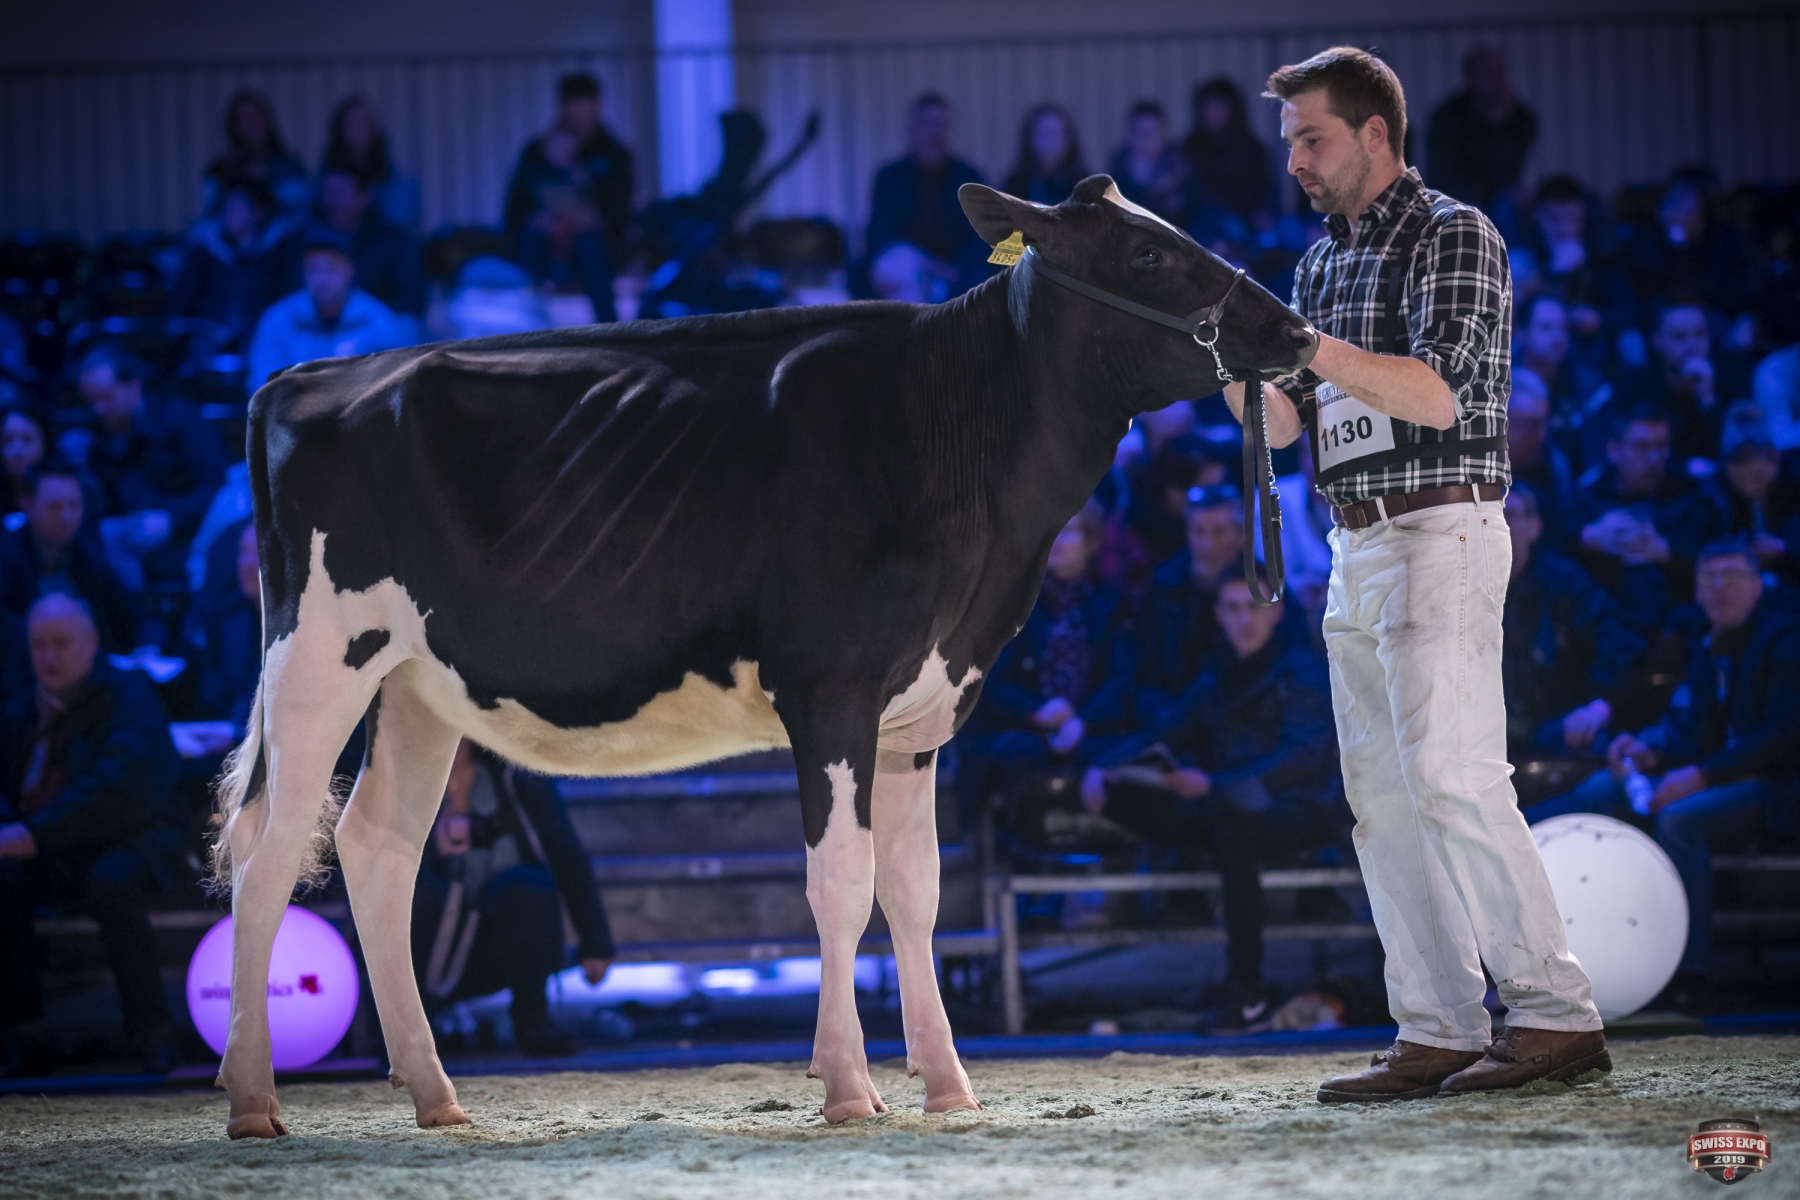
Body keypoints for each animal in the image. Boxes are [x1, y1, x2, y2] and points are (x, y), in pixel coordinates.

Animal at [210, 174, 1317, 1138]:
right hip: (318, 656)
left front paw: (948, 1086)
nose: (1297, 331)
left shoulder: (924, 708)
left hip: (416, 687)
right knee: (270, 861)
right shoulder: (830, 691)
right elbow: (842, 884)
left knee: (378, 851)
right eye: (1147, 252)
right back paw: (255, 1100)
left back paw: (437, 1096)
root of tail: (311, 377)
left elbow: (916, 889)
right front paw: (850, 1088)